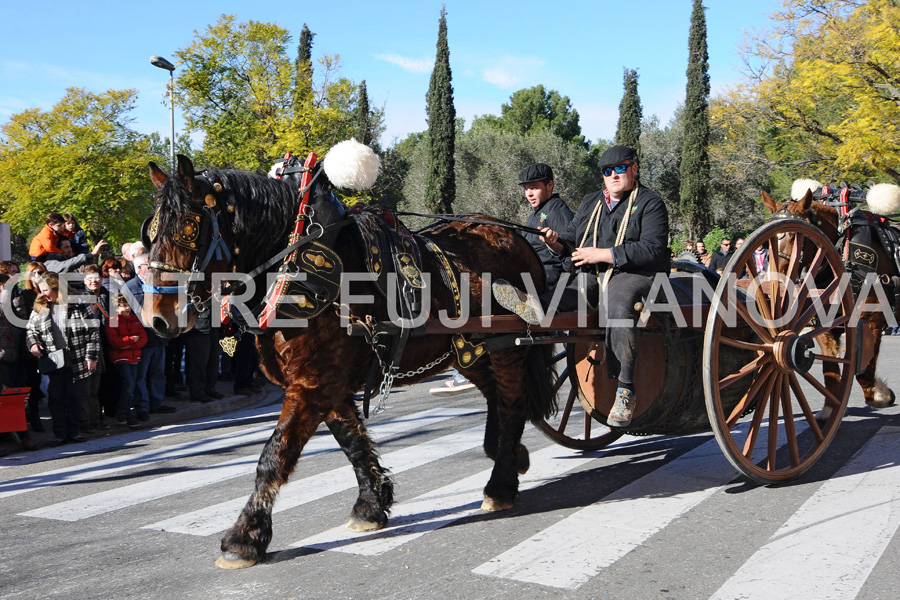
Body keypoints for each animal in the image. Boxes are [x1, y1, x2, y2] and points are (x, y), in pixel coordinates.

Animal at [145, 149, 560, 568]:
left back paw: (501, 483)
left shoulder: (312, 384)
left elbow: (273, 456)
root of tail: (518, 239)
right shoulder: (327, 384)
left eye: (187, 227)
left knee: (511, 403)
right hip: (469, 351)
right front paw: (371, 505)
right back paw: (508, 454)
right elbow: (352, 442)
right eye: (151, 232)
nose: (155, 317)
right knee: (496, 396)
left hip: (508, 348)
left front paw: (244, 536)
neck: (297, 265)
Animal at [764, 185, 896, 414]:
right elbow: (830, 366)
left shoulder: (873, 316)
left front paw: (879, 394)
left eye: (794, 237)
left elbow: (864, 366)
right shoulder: (824, 322)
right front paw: (829, 408)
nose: (773, 282)